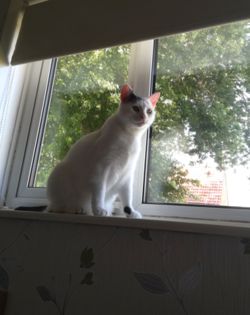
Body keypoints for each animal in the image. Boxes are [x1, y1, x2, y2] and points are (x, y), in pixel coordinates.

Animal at [47, 84, 160, 218]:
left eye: (149, 111)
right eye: (136, 108)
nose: (144, 117)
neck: (130, 136)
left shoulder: (127, 175)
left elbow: (127, 197)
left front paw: (131, 213)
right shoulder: (101, 169)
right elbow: (99, 192)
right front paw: (99, 210)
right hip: (60, 172)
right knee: (58, 207)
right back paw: (77, 209)